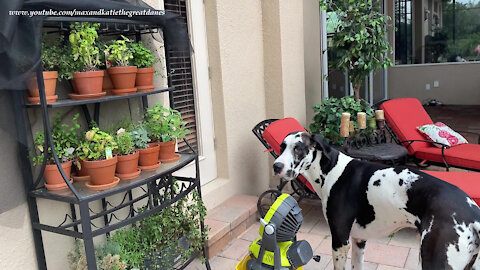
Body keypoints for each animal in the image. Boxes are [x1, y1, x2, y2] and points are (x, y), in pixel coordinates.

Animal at [274, 132, 480, 270]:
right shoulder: (358, 241)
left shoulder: (340, 242)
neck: (331, 170)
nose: (276, 166)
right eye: (282, 147)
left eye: (298, 148)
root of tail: (472, 212)